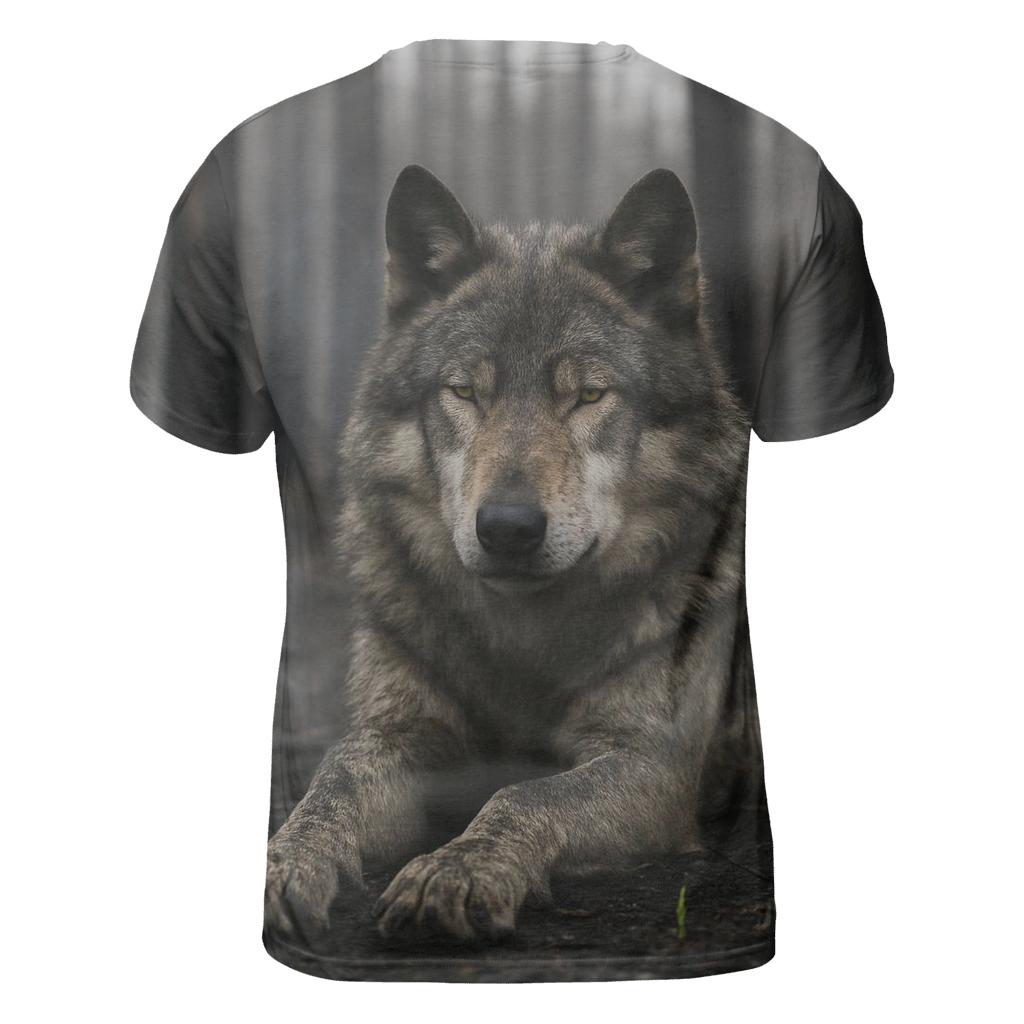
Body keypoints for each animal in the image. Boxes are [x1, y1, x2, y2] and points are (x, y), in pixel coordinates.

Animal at [264, 163, 750, 944]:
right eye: (464, 391)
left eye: (588, 394)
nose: (509, 528)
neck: (522, 644)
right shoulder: (402, 734)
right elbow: (332, 779)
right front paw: (283, 860)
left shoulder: (652, 764)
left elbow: (523, 794)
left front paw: (456, 869)